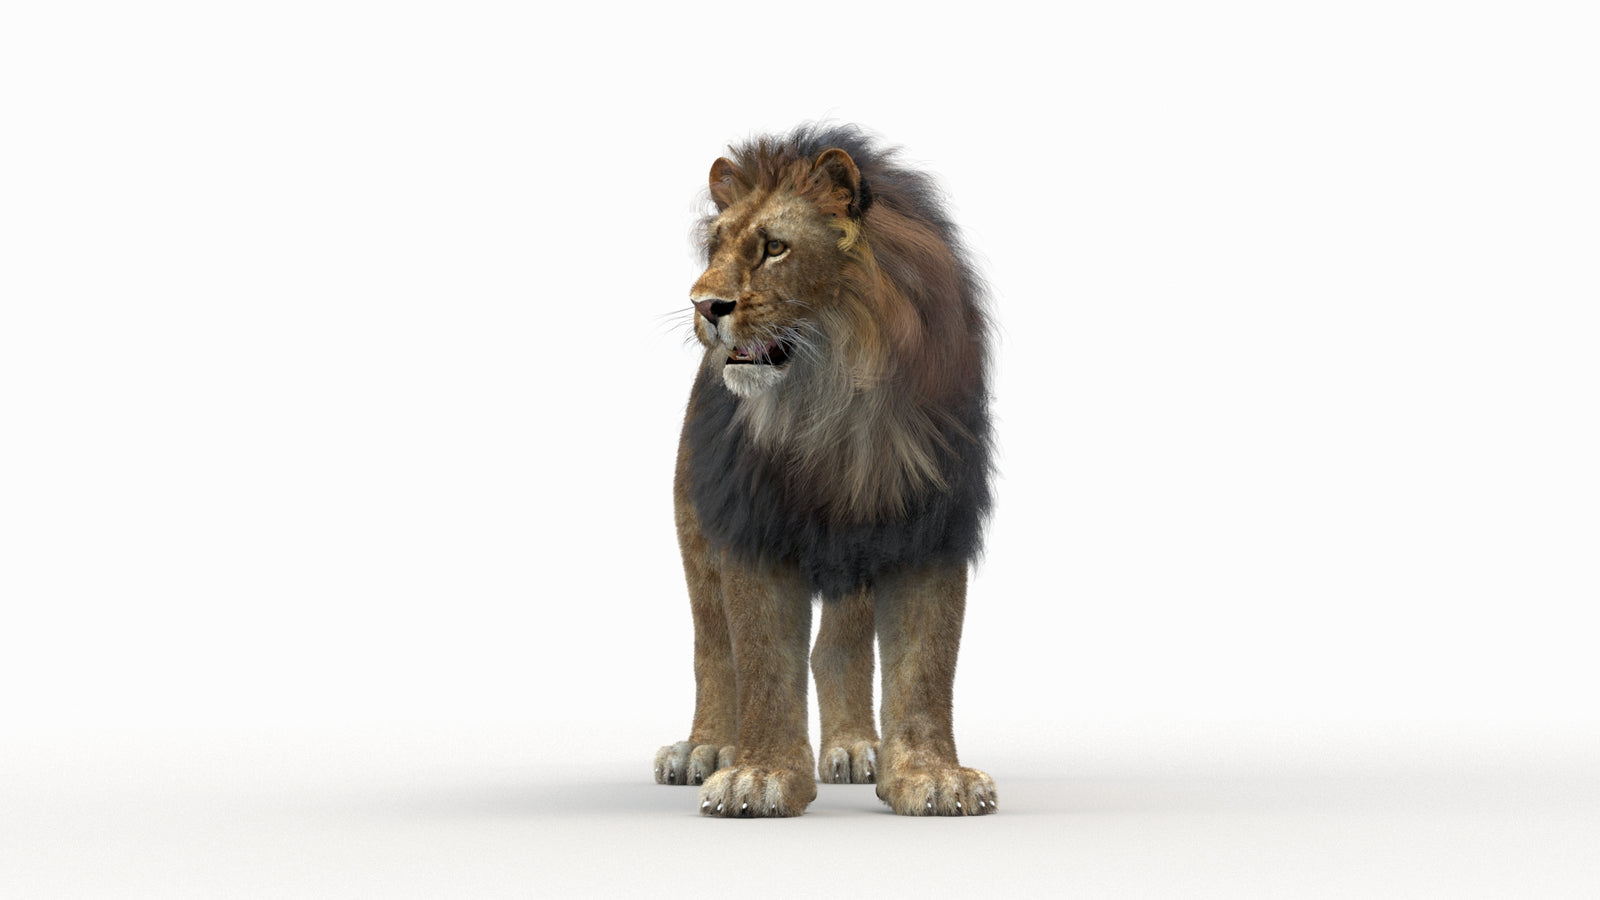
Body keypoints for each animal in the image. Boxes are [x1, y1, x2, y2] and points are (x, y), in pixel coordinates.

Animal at [654, 125, 995, 817]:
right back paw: (705, 748)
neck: (832, 407)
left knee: (835, 649)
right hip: (695, 530)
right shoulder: (750, 527)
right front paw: (757, 776)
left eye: (775, 248)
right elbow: (760, 661)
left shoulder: (931, 526)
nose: (704, 305)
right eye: (715, 246)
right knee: (713, 646)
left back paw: (854, 748)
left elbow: (926, 664)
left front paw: (931, 777)